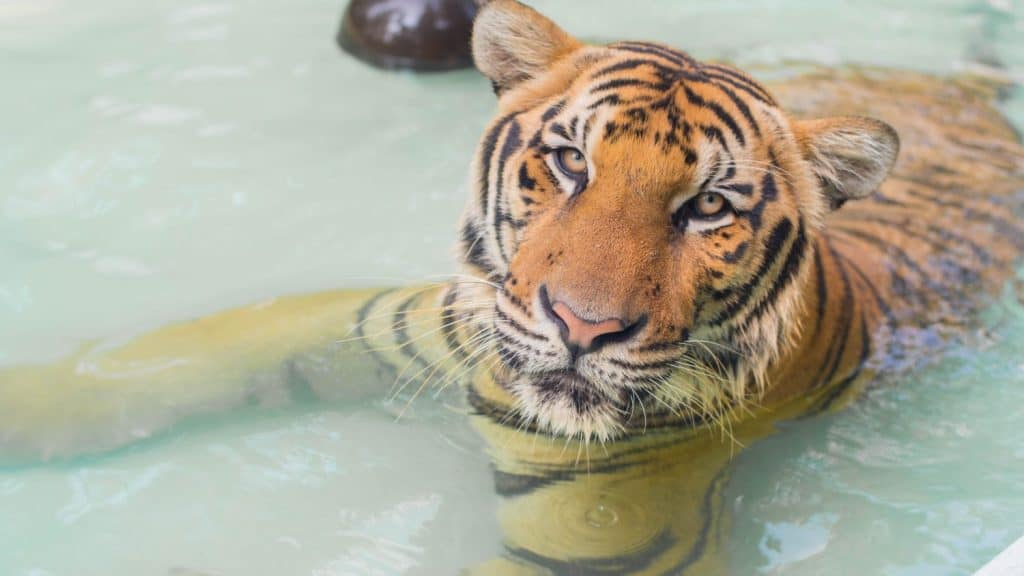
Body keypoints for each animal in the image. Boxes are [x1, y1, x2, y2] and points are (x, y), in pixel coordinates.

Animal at [2, 1, 1023, 573]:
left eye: (708, 207)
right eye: (570, 161)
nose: (582, 326)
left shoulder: (598, 545)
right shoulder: (376, 323)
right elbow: (159, 361)